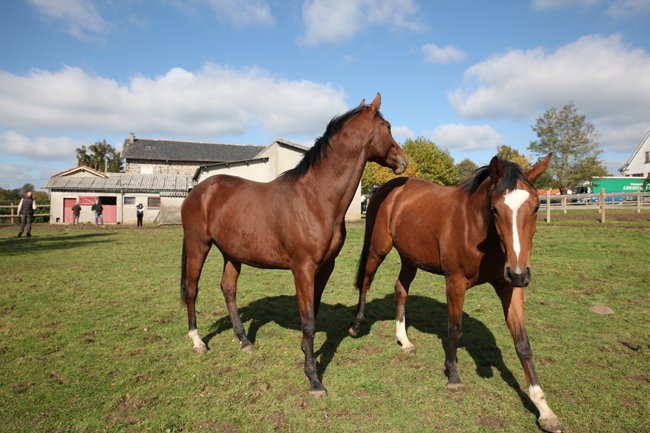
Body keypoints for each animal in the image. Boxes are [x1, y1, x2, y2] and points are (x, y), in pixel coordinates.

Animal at [180, 93, 408, 397]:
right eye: (388, 126)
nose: (402, 160)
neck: (316, 198)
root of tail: (198, 191)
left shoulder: (324, 267)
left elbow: (314, 312)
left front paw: (305, 352)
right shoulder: (303, 268)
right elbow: (308, 320)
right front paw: (313, 378)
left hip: (231, 253)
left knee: (228, 289)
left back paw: (244, 340)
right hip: (198, 245)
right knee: (192, 290)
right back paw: (197, 341)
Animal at [348, 154, 564, 433]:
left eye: (536, 207)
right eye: (495, 209)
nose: (520, 274)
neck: (476, 227)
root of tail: (388, 188)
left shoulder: (510, 288)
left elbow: (523, 344)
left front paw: (544, 409)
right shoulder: (455, 283)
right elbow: (454, 327)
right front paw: (453, 375)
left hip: (410, 259)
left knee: (400, 289)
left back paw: (404, 340)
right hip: (378, 249)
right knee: (366, 281)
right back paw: (356, 325)